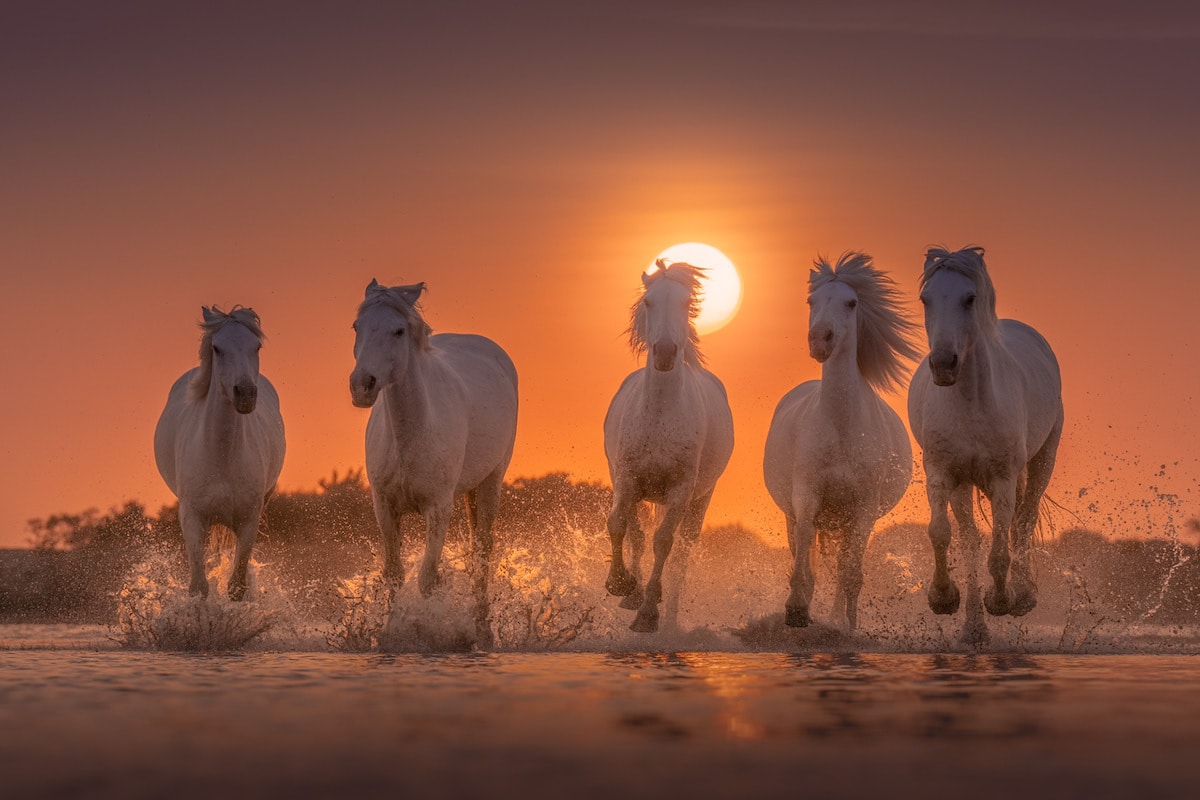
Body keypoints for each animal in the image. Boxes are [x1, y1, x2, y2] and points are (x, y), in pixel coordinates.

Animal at [152, 307, 285, 599]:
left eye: (256, 346)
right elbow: (199, 587)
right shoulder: (192, 519)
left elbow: (236, 587)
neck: (222, 457)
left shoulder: (248, 521)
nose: (245, 394)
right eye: (217, 348)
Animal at [348, 278, 516, 647]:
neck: (409, 435)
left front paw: (429, 632)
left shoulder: (438, 508)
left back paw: (483, 631)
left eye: (398, 330)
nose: (361, 385)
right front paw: (389, 633)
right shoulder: (384, 506)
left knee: (482, 552)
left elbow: (427, 578)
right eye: (357, 327)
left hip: (491, 481)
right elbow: (394, 574)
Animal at [604, 261, 734, 633]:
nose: (664, 353)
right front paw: (621, 584)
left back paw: (669, 615)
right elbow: (620, 525)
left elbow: (663, 542)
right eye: (649, 302)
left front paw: (648, 615)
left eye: (686, 302)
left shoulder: (680, 490)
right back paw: (634, 592)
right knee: (636, 533)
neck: (661, 413)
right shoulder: (627, 479)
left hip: (699, 500)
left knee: (680, 557)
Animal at [763, 253, 921, 628]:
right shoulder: (806, 496)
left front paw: (847, 626)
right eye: (811, 301)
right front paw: (796, 609)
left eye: (851, 303)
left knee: (842, 563)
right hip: (800, 514)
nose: (820, 340)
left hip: (846, 521)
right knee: (804, 548)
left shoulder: (862, 510)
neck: (841, 428)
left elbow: (850, 572)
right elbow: (804, 554)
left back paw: (837, 618)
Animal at [902, 244, 1065, 642]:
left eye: (969, 298)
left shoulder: (1003, 478)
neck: (971, 402)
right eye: (926, 299)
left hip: (1042, 461)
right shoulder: (941, 473)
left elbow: (1002, 548)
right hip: (964, 485)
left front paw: (1002, 600)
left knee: (1022, 523)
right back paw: (974, 628)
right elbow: (942, 534)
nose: (943, 364)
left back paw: (1021, 596)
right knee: (971, 539)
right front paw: (943, 598)